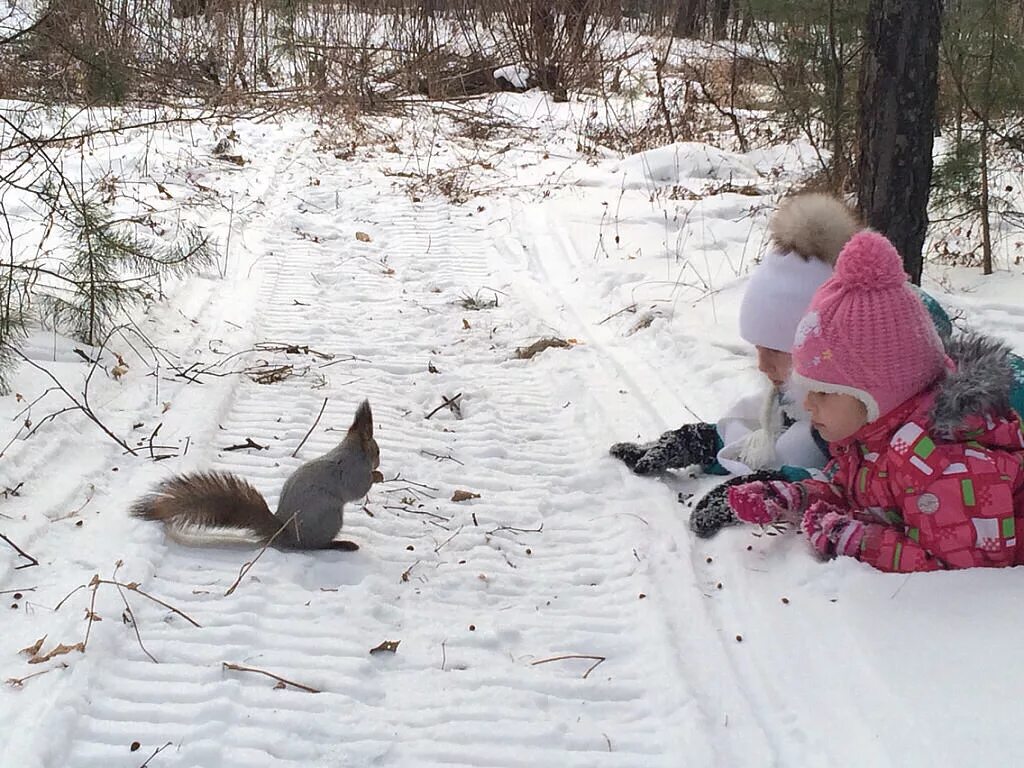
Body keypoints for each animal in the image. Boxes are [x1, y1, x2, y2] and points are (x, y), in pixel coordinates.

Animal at [132, 399, 380, 548]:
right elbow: (358, 489)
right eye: (376, 450)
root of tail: (286, 535)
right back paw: (339, 545)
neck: (352, 451)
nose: (378, 461)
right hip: (330, 518)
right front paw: (377, 476)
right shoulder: (351, 472)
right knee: (316, 546)